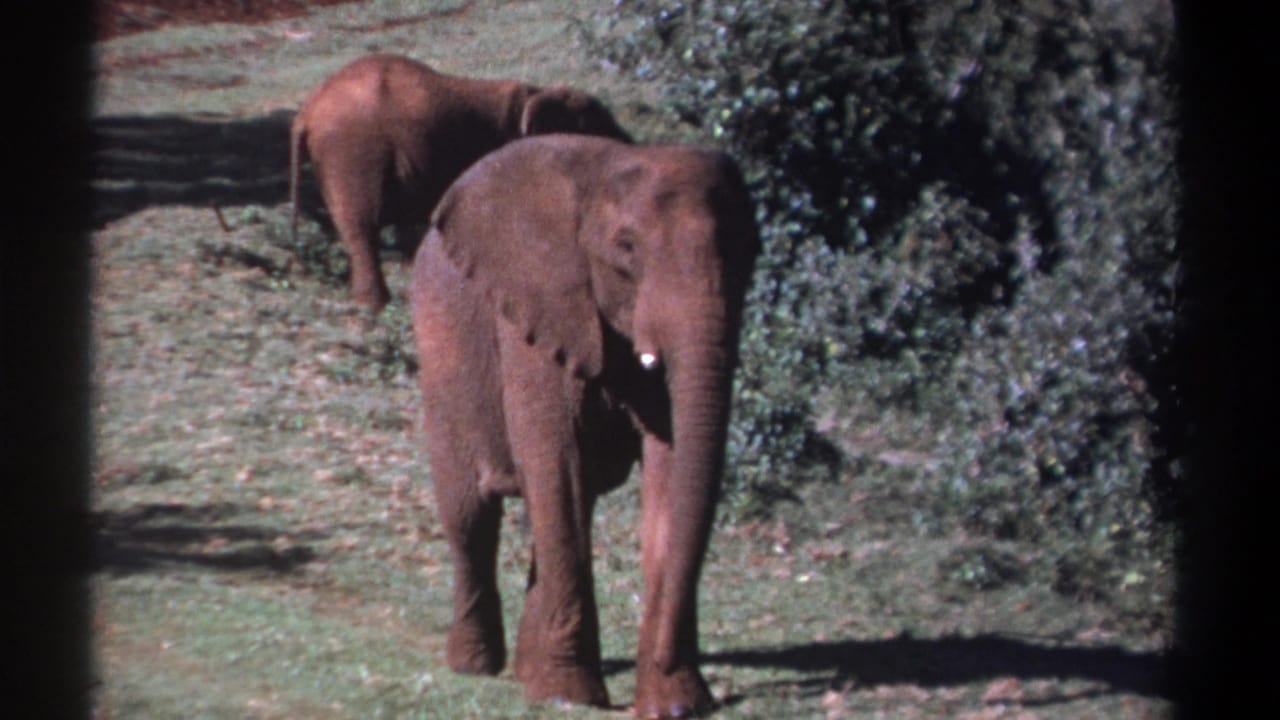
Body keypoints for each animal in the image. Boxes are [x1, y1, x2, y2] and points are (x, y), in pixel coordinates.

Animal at [289, 53, 632, 310]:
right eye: (597, 128)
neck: (535, 93)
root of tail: (305, 112)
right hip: (351, 152)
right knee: (361, 228)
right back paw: (375, 307)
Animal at [410, 134, 760, 718]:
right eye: (627, 249)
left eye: (748, 253)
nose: (665, 661)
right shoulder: (538, 314)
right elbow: (558, 463)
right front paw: (568, 696)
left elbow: (668, 470)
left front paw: (675, 702)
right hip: (440, 353)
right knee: (472, 514)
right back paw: (476, 667)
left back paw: (524, 672)